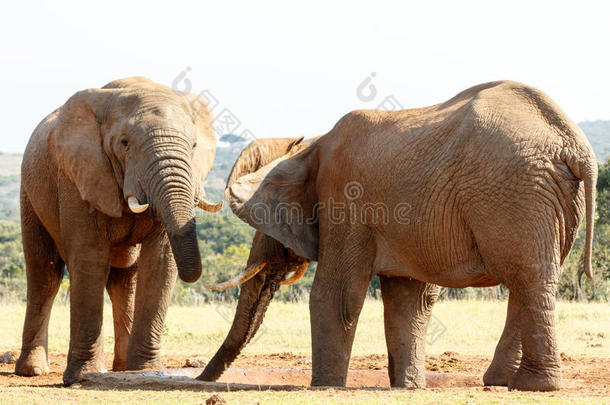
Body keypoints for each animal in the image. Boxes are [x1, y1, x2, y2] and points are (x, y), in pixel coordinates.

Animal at [14, 76, 221, 386]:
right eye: (125, 143)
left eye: (194, 145)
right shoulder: (78, 176)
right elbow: (90, 259)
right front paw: (82, 377)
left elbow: (159, 263)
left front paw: (146, 371)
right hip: (29, 194)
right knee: (44, 274)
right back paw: (33, 370)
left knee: (124, 281)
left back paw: (125, 370)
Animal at [198, 80, 592, 390]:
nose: (197, 379)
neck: (312, 143)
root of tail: (573, 144)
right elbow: (409, 300)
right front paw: (408, 387)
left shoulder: (346, 200)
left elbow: (337, 295)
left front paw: (325, 386)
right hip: (545, 195)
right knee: (529, 280)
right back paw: (502, 382)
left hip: (514, 191)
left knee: (527, 277)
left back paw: (531, 386)